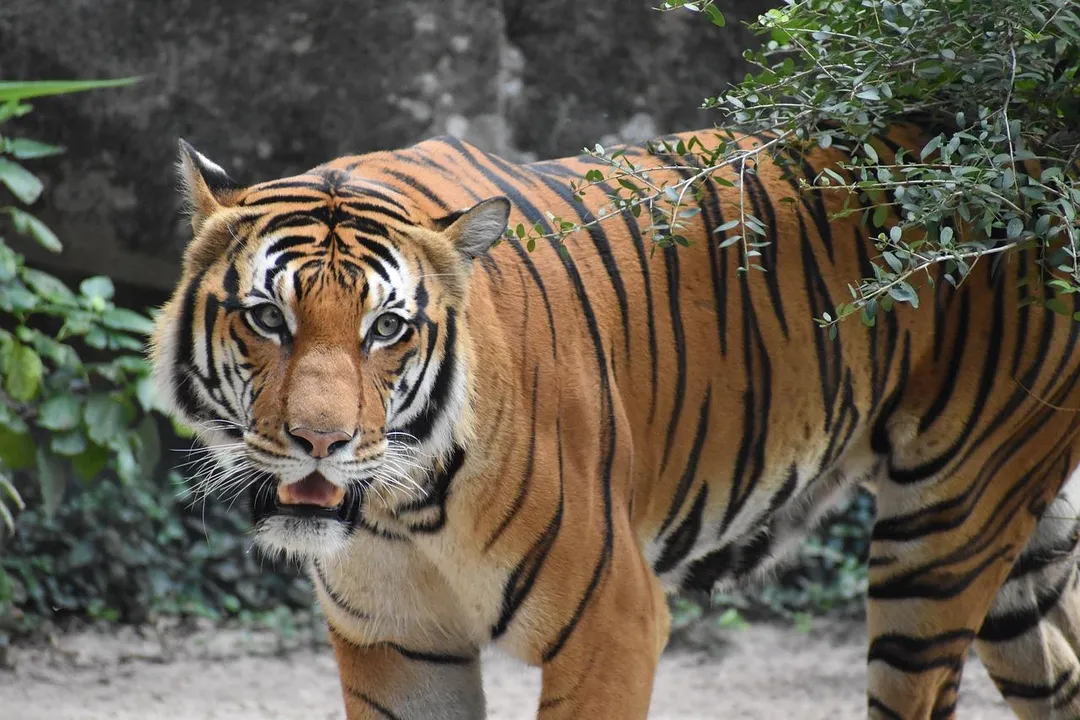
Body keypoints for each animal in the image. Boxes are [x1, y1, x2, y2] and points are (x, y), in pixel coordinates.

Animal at [149, 121, 1080, 720]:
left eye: (387, 328)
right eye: (268, 318)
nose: (320, 442)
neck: (400, 511)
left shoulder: (614, 623)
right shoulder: (397, 645)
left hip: (942, 537)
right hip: (1017, 551)